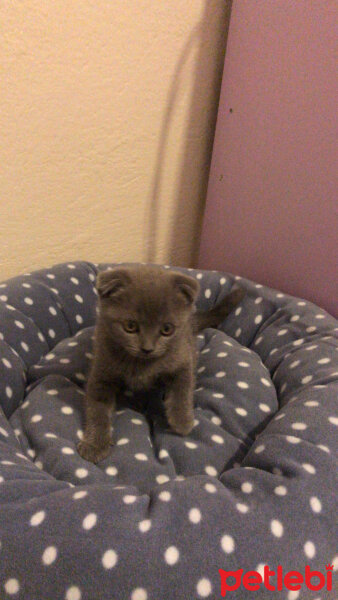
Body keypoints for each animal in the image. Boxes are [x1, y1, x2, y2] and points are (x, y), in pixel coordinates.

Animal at [77, 266, 243, 464]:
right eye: (130, 326)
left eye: (167, 329)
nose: (147, 348)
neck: (141, 364)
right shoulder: (102, 369)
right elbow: (97, 408)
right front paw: (95, 444)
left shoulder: (182, 358)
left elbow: (183, 389)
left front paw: (182, 420)